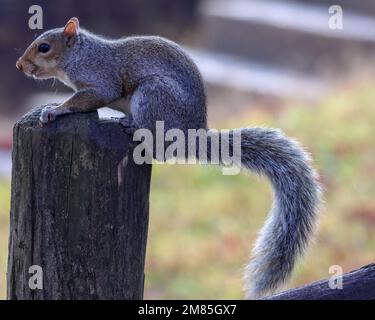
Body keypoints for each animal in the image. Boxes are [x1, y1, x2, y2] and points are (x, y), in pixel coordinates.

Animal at [16, 16, 324, 298]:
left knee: (158, 146)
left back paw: (132, 125)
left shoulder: (101, 80)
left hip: (153, 96)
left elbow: (88, 98)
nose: (20, 66)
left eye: (44, 47)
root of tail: (191, 135)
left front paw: (55, 110)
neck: (80, 55)